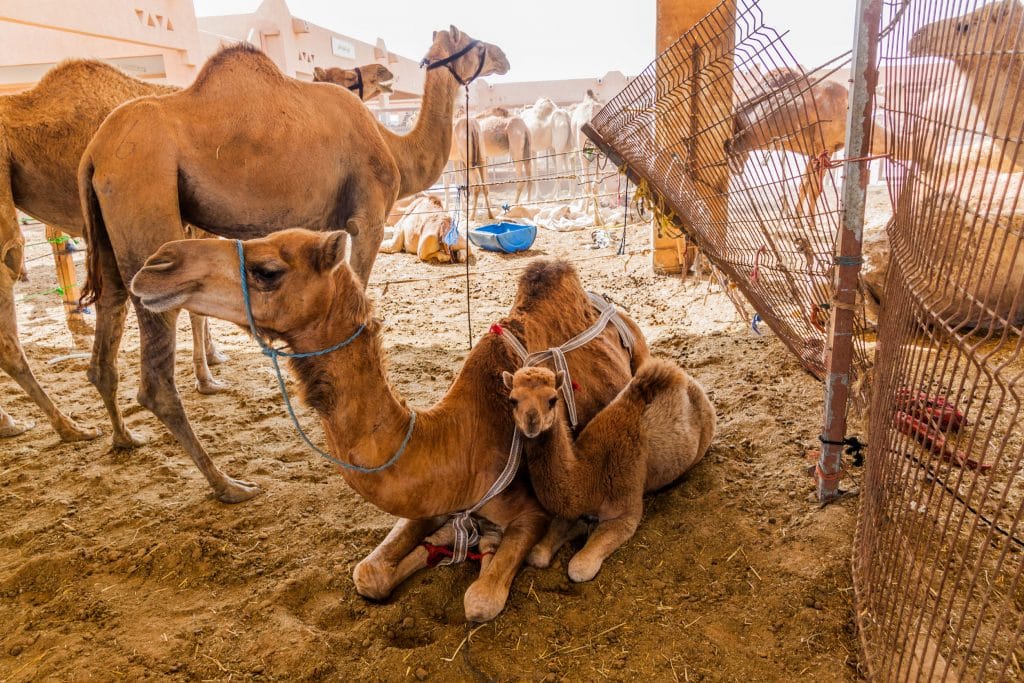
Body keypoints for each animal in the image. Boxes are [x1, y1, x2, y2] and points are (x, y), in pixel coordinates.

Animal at [77, 26, 509, 501]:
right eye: (474, 42)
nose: (503, 56)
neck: (393, 148)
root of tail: (93, 154)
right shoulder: (367, 219)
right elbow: (358, 292)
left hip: (110, 238)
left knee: (107, 330)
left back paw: (123, 438)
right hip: (144, 197)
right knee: (155, 376)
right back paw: (229, 485)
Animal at [132, 228, 651, 618]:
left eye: (267, 270)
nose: (154, 264)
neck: (456, 437)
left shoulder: (529, 512)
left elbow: (480, 600)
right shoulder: (429, 502)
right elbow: (369, 574)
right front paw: (436, 548)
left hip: (640, 353)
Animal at [501, 358, 712, 581]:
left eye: (553, 399)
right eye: (512, 400)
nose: (531, 422)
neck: (590, 474)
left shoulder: (625, 511)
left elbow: (579, 568)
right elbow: (536, 555)